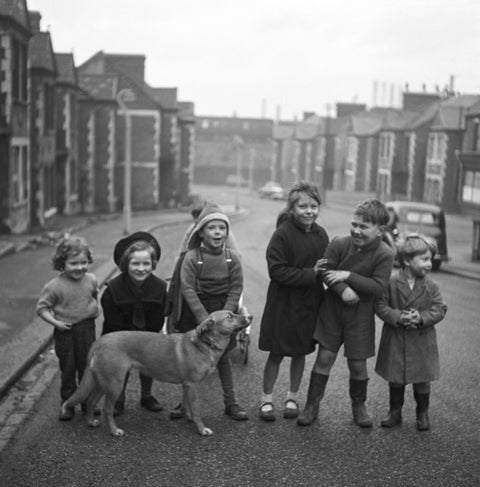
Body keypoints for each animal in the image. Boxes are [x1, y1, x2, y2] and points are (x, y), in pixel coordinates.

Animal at [61, 312, 251, 438]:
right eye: (230, 316)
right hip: (115, 384)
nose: (250, 317)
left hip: (103, 382)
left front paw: (189, 420)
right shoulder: (191, 385)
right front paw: (201, 429)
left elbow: (189, 407)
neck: (205, 344)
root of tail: (99, 341)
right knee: (107, 409)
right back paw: (114, 431)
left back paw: (90, 422)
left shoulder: (186, 385)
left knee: (91, 402)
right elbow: (196, 410)